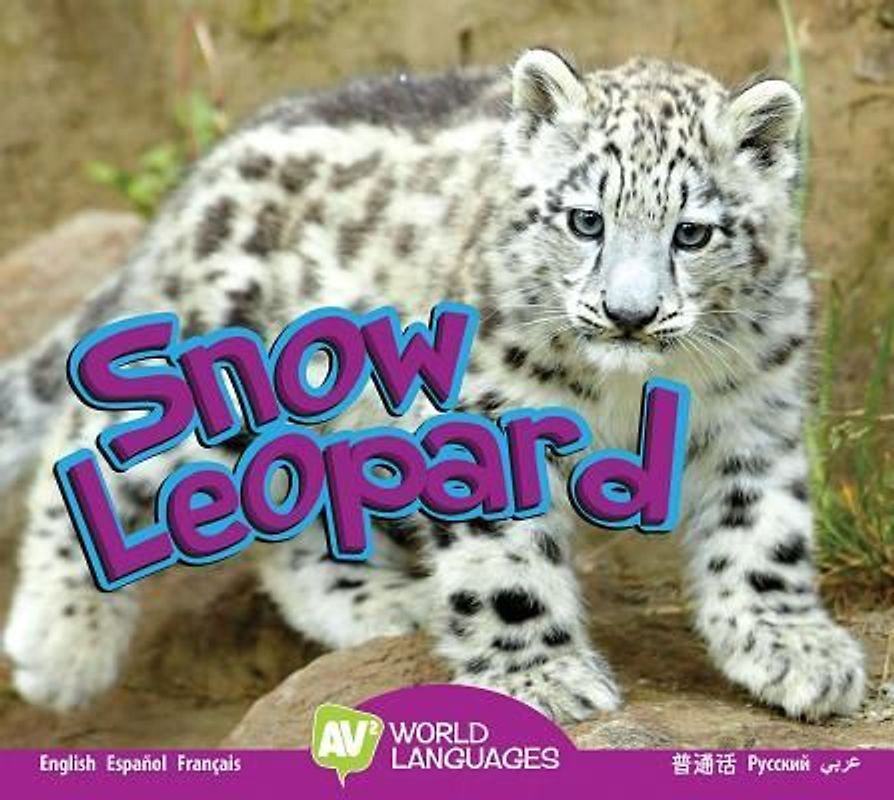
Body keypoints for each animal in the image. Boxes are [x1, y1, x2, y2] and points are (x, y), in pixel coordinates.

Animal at [0, 48, 866, 723]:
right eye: (585, 219)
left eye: (692, 232)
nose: (630, 314)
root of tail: (201, 177)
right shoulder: (490, 412)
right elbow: (505, 562)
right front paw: (540, 675)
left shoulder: (755, 415)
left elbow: (762, 531)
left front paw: (796, 651)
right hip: (220, 381)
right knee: (89, 441)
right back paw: (61, 646)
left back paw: (381, 605)